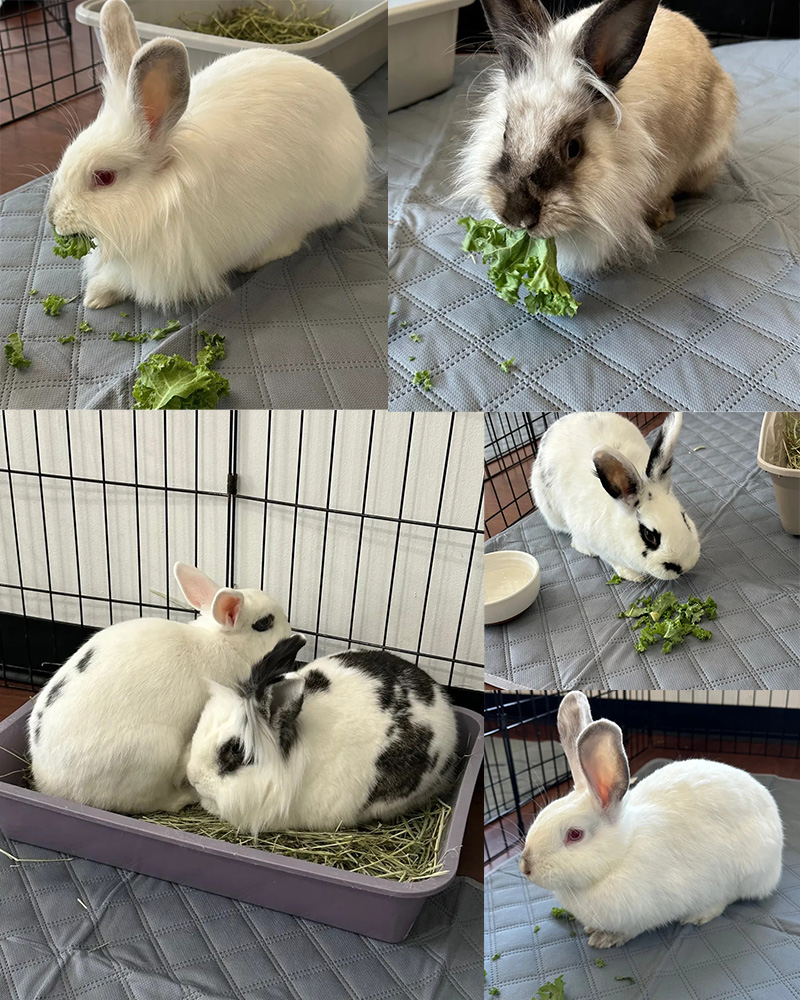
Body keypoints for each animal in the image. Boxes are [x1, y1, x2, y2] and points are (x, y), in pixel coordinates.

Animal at [29, 563, 292, 814]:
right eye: (265, 622)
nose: (290, 632)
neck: (223, 642)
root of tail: (49, 785)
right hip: (154, 755)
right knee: (145, 802)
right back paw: (183, 797)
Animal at [519, 692, 784, 948]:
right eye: (541, 815)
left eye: (574, 834)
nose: (525, 867)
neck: (620, 856)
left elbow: (631, 929)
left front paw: (605, 939)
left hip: (742, 873)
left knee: (725, 898)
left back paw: (699, 915)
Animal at [529, 411, 700, 581]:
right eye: (648, 535)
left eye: (684, 518)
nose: (683, 566)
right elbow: (614, 562)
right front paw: (634, 576)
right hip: (554, 514)